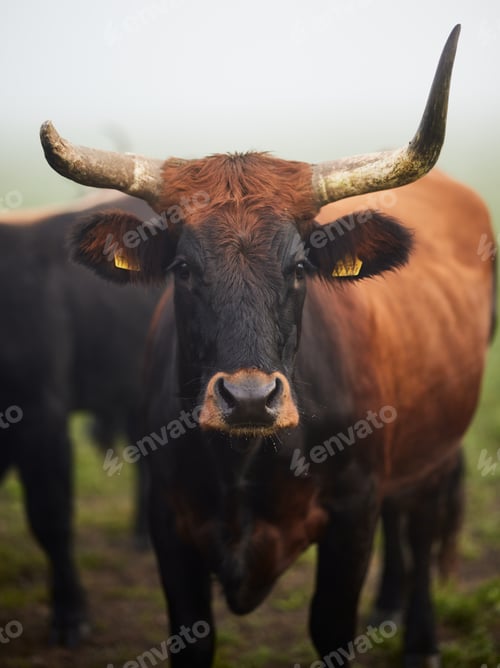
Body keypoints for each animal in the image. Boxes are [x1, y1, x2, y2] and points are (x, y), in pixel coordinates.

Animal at [39, 25, 496, 667]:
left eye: (300, 266)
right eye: (183, 268)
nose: (250, 399)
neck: (245, 460)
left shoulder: (352, 515)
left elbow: (332, 626)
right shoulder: (168, 524)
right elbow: (192, 636)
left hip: (436, 445)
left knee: (421, 521)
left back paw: (420, 640)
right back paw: (387, 607)